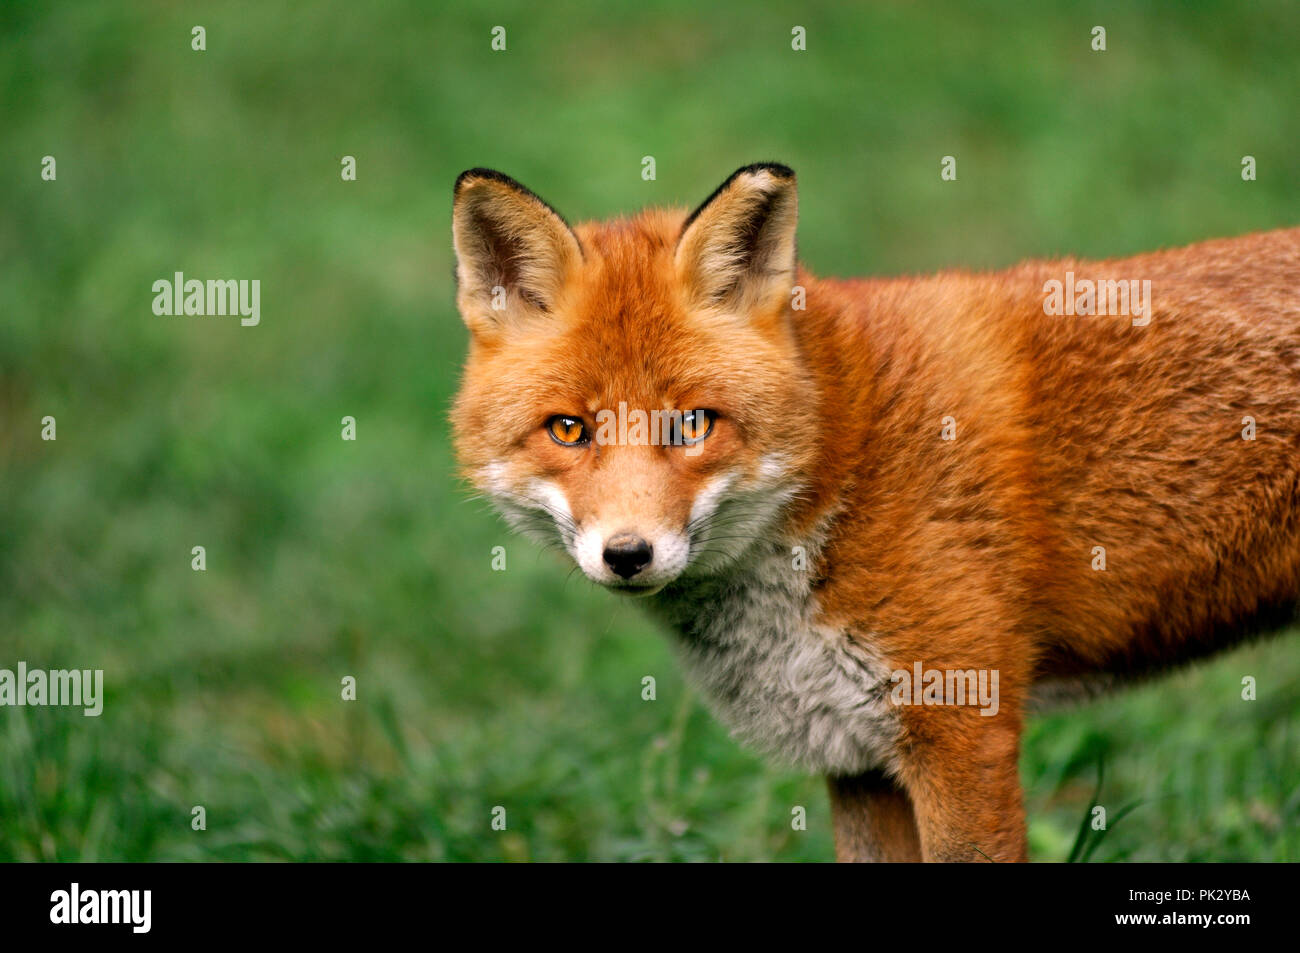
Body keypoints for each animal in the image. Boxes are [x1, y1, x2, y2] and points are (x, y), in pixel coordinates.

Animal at [449, 163, 1300, 863]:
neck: (847, 460)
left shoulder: (963, 728)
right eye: (569, 429)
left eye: (693, 424)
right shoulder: (855, 753)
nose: (628, 554)